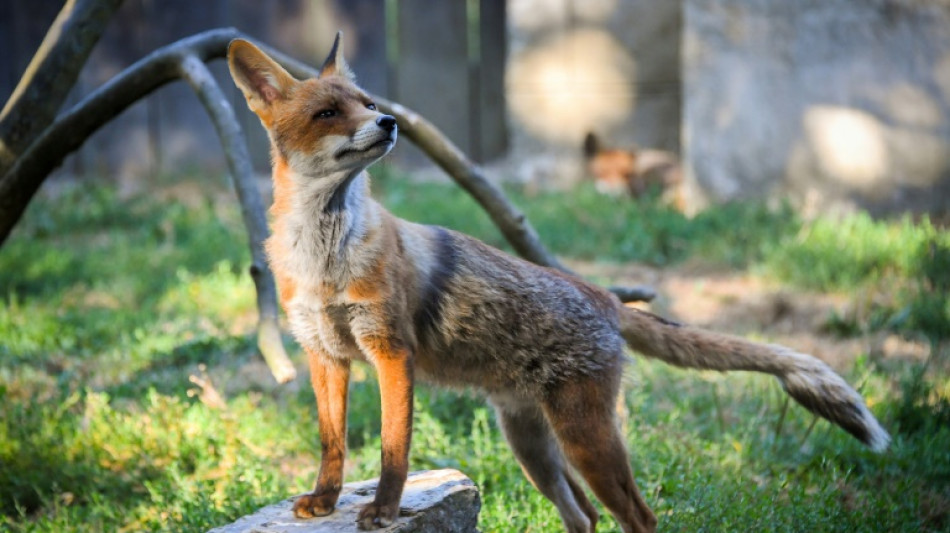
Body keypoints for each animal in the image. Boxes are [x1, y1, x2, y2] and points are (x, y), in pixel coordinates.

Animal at [227, 33, 889, 533]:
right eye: (327, 113)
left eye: (366, 103)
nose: (389, 122)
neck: (323, 257)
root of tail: (608, 298)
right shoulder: (325, 353)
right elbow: (332, 444)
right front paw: (325, 501)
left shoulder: (391, 351)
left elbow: (394, 447)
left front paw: (384, 511)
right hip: (533, 446)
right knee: (587, 518)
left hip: (583, 438)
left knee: (638, 518)